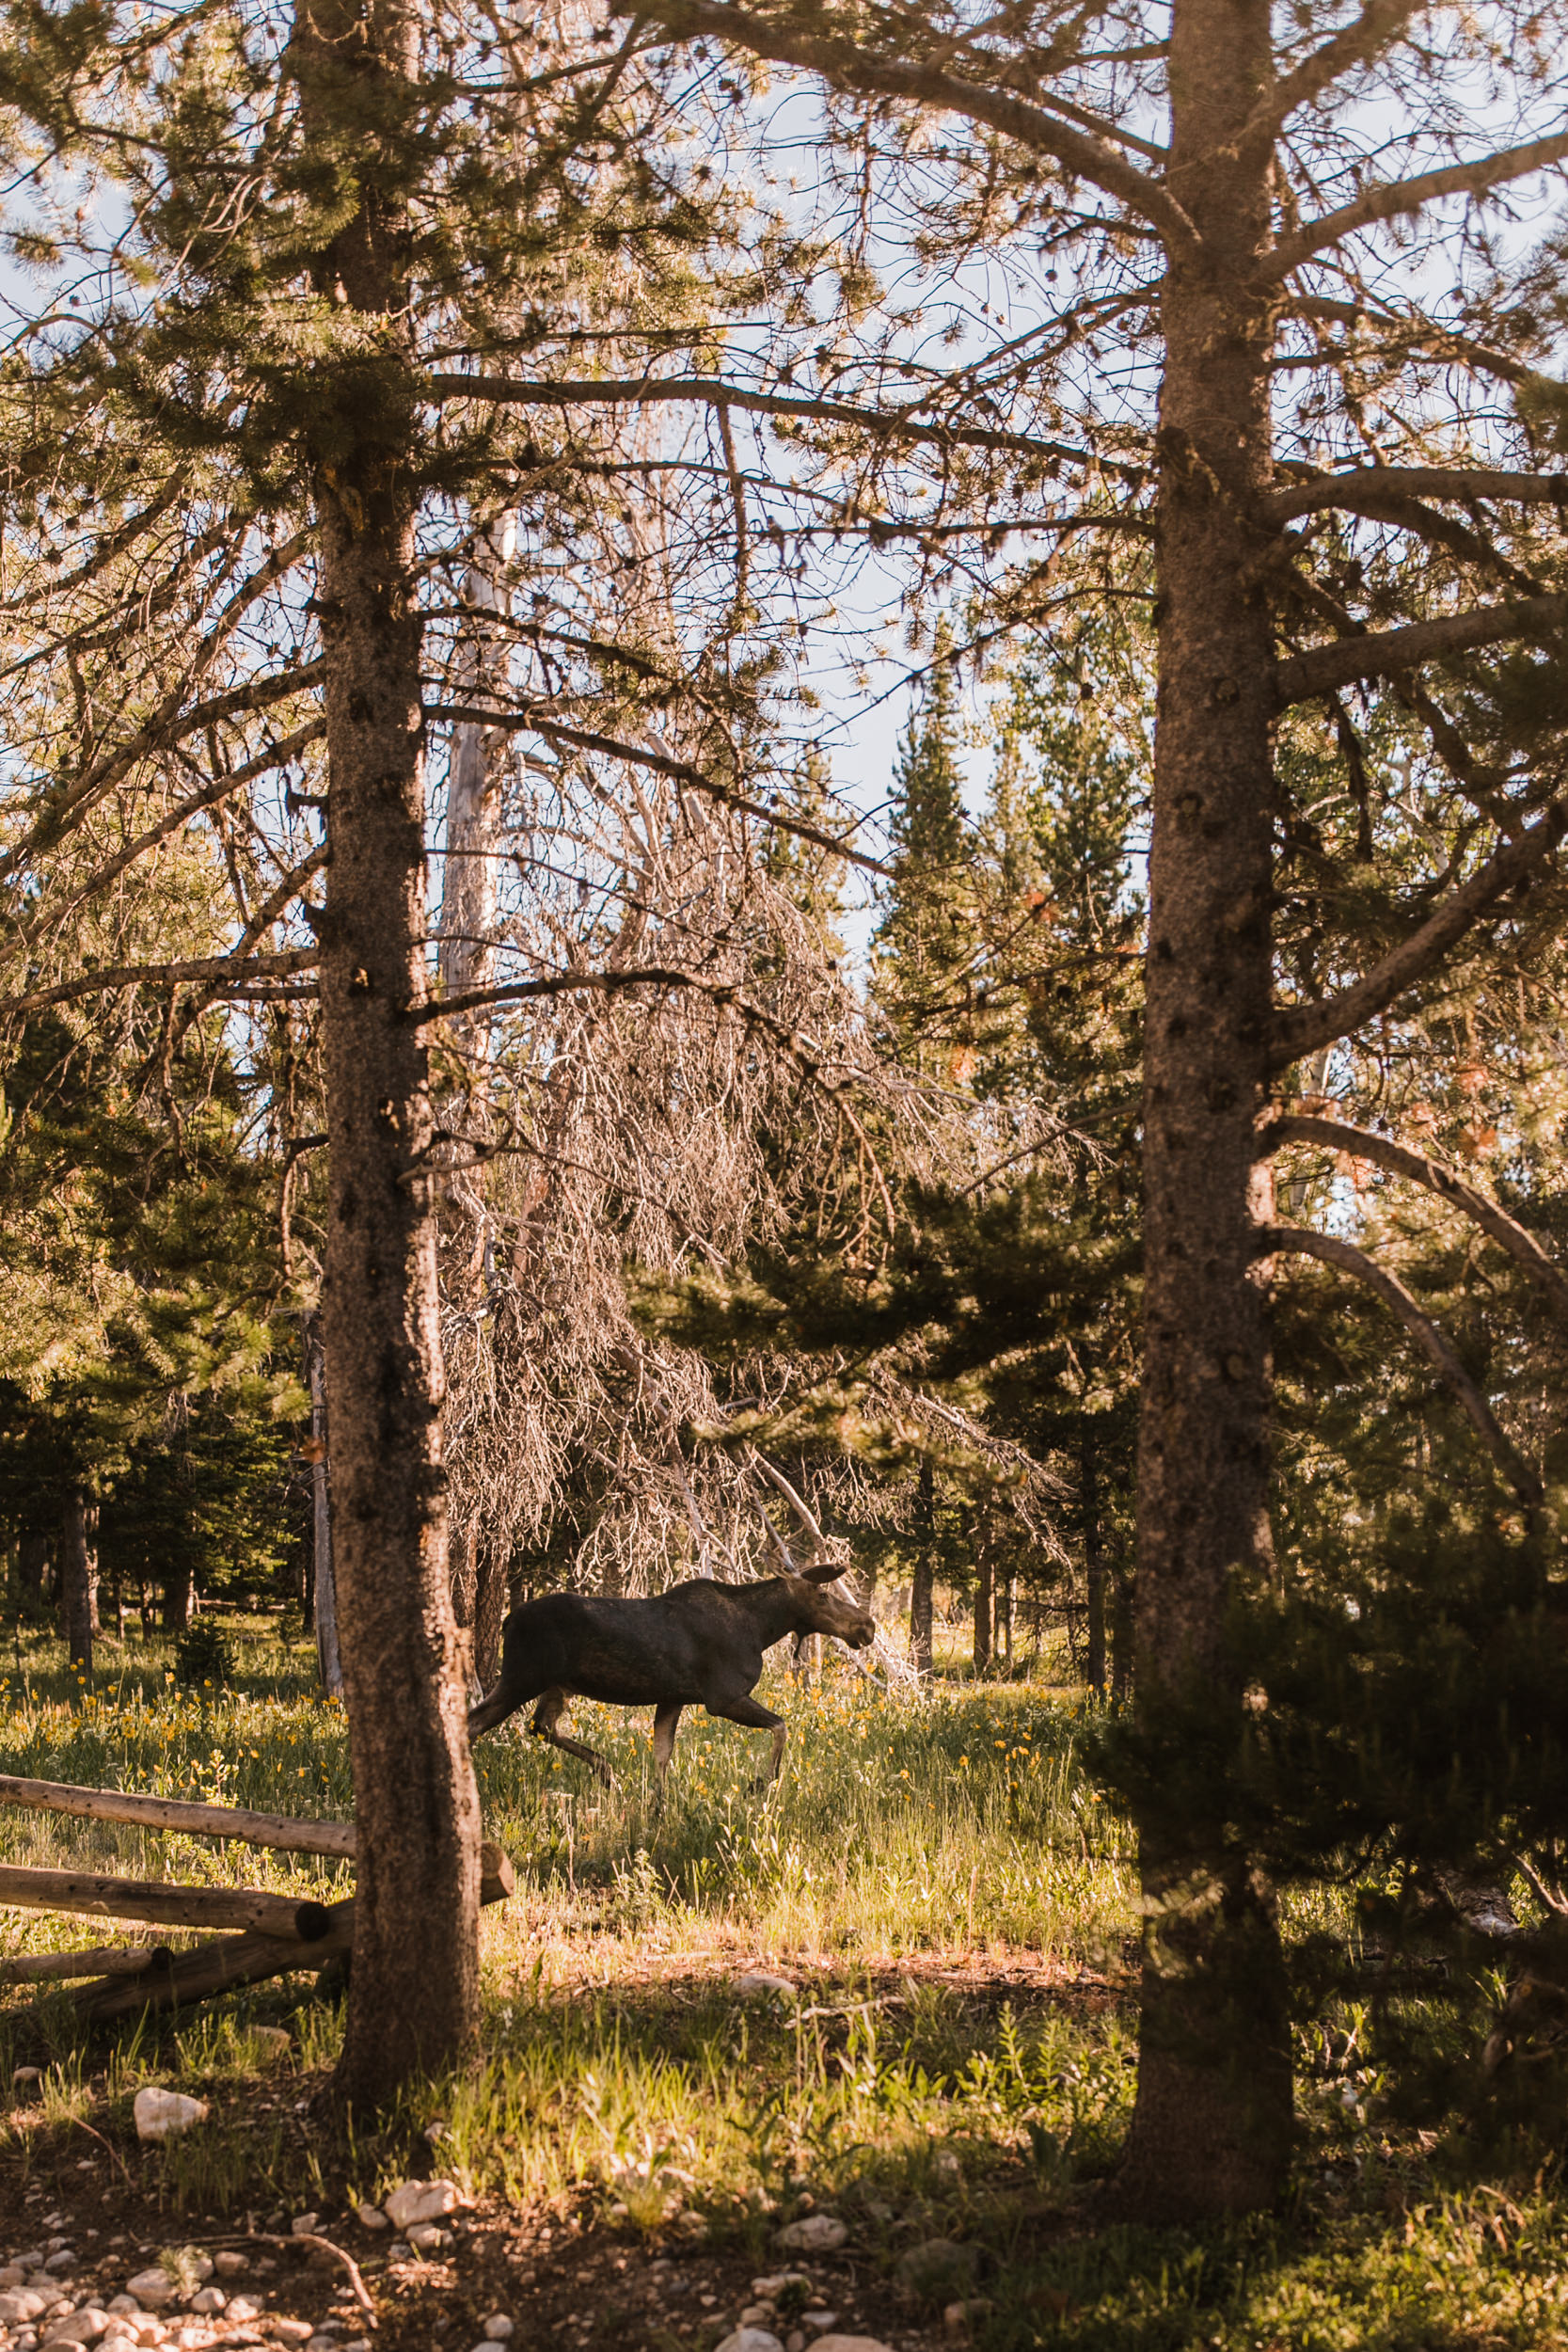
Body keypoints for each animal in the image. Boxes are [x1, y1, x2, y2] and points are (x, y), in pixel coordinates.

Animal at [465, 1571, 883, 1788]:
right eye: (823, 1595)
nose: (868, 1625)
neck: (762, 1628)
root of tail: (506, 1621)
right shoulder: (722, 1698)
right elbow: (782, 1725)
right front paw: (761, 1783)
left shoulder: (673, 1698)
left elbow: (662, 1757)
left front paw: (656, 1815)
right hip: (522, 1678)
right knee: (473, 1723)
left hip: (555, 1687)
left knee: (540, 1726)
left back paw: (607, 1772)